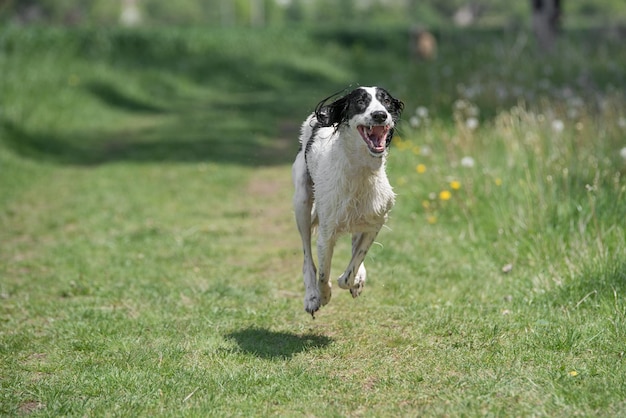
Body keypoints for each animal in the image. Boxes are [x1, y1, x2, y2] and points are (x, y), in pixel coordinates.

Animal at [292, 86, 402, 316]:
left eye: (386, 101)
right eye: (361, 101)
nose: (380, 115)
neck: (360, 172)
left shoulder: (375, 222)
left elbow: (355, 262)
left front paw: (354, 279)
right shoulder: (326, 235)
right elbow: (323, 275)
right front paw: (323, 296)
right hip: (302, 202)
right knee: (307, 257)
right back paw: (311, 296)